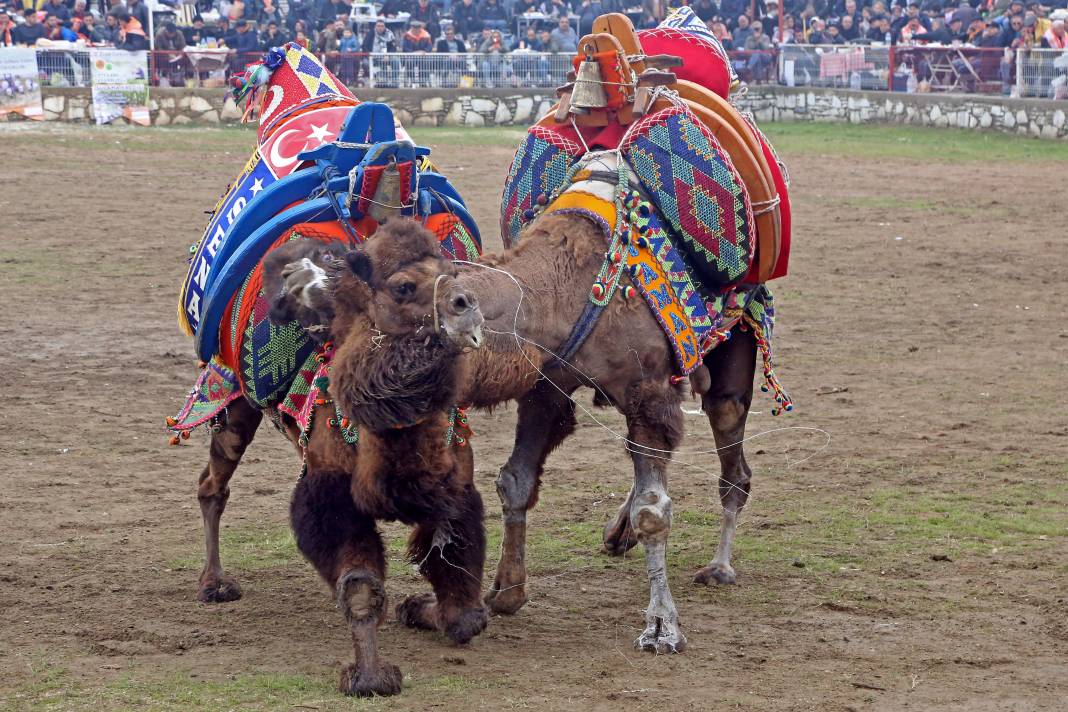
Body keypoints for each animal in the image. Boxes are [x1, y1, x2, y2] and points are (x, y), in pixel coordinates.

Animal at [196, 220, 489, 695]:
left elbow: (463, 607)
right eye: (403, 287)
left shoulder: (454, 488)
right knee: (212, 485)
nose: (467, 306)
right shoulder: (328, 491)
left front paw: (417, 607)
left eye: (454, 273)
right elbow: (361, 587)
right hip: (232, 399)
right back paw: (214, 584)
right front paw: (370, 676)